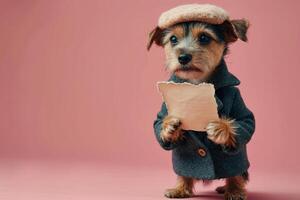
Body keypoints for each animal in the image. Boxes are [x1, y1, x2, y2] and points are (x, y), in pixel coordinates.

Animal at [148, 3, 255, 200]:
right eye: (173, 39)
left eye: (204, 38)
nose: (183, 57)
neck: (196, 83)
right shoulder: (163, 109)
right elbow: (158, 122)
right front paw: (169, 125)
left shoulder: (239, 101)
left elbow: (246, 122)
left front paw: (221, 128)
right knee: (184, 174)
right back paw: (180, 188)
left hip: (237, 161)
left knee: (236, 174)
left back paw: (233, 190)